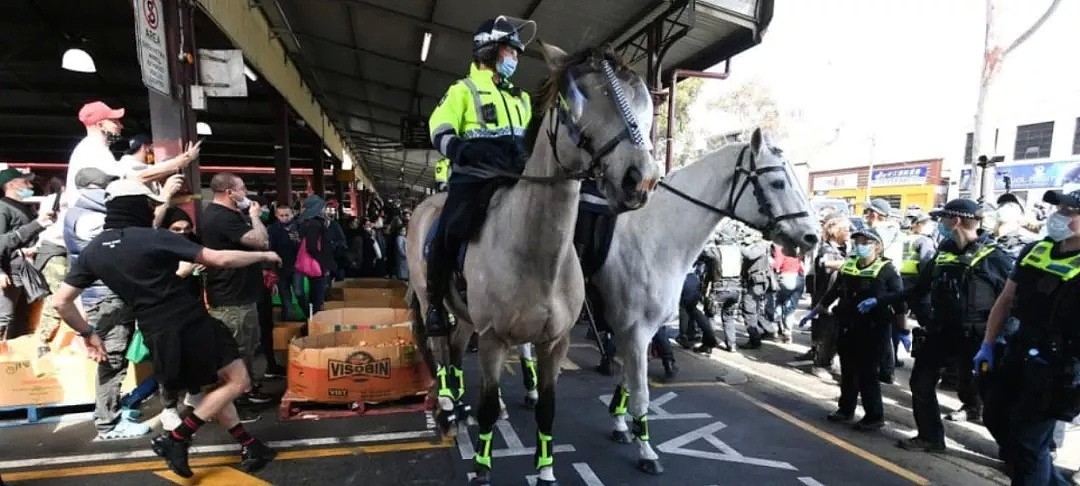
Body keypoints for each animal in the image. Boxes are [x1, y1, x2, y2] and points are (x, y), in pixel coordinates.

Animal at [406, 42, 656, 486]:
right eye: (578, 99)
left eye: (645, 101)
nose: (639, 179)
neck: (538, 258)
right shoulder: (492, 339)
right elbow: (489, 406)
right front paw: (482, 468)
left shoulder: (554, 343)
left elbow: (547, 409)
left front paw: (545, 471)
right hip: (427, 296)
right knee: (437, 344)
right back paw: (448, 404)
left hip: (465, 314)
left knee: (454, 348)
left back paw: (458, 406)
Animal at [591, 129, 816, 475]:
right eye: (778, 182)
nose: (812, 237)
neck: (655, 237)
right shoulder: (637, 330)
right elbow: (641, 393)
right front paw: (647, 453)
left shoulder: (632, 331)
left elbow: (628, 381)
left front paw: (620, 426)